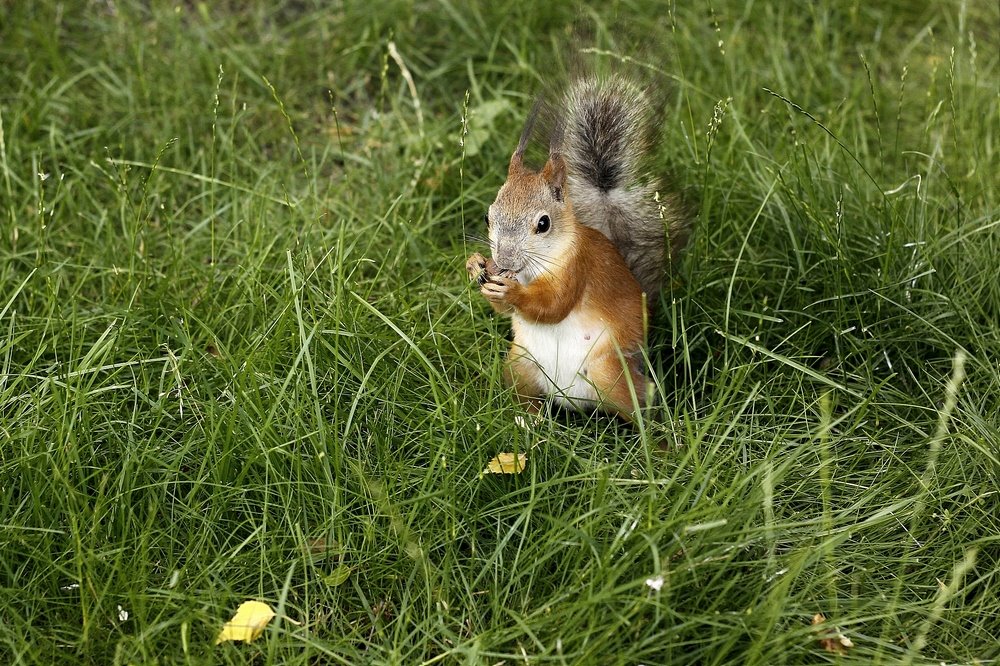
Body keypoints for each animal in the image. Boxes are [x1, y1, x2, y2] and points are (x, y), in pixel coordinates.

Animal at [466, 75, 688, 418]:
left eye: (543, 223)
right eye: (487, 217)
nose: (503, 259)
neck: (533, 268)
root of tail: (574, 402)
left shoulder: (579, 266)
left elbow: (554, 306)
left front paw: (512, 292)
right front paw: (476, 265)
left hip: (608, 374)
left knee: (640, 406)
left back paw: (660, 432)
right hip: (521, 364)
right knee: (525, 397)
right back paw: (526, 422)